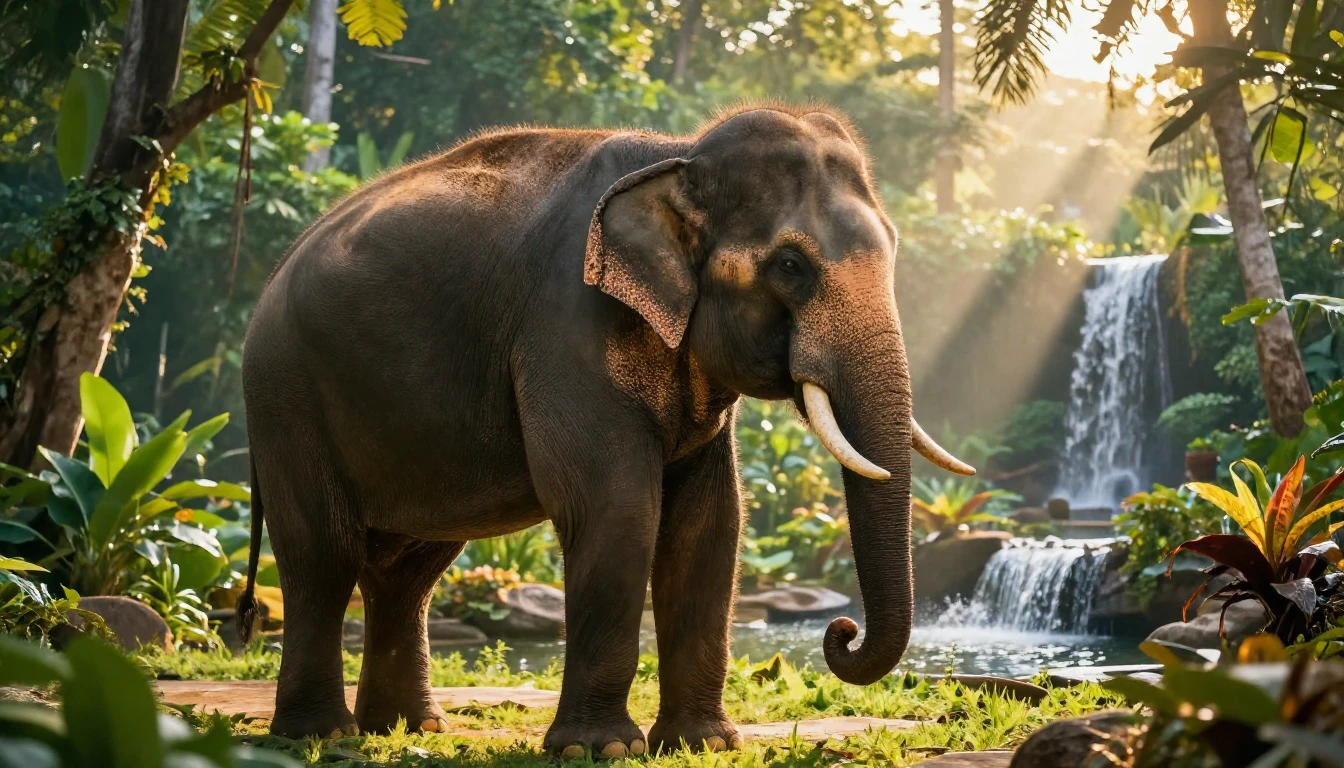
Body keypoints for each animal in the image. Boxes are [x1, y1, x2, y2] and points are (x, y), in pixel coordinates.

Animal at [236, 103, 974, 756]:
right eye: (790, 265)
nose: (841, 631)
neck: (679, 156)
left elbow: (710, 523)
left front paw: (701, 745)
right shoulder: (566, 323)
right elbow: (617, 506)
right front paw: (602, 748)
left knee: (408, 568)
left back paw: (409, 729)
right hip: (285, 394)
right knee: (323, 554)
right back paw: (319, 735)